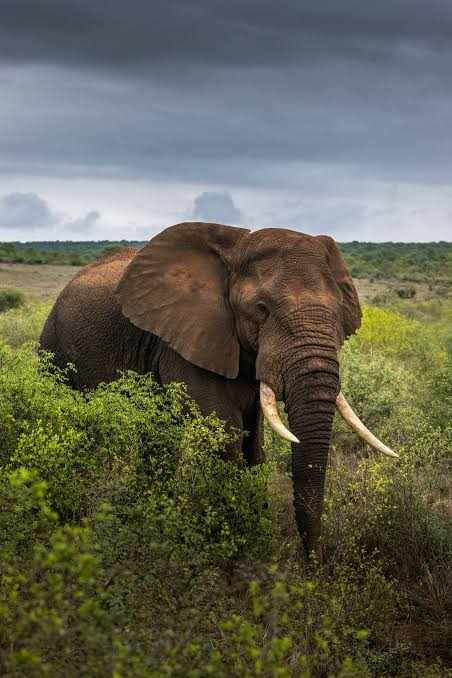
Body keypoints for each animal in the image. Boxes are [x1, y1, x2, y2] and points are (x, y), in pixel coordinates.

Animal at [40, 222, 397, 556]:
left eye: (337, 312)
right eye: (261, 309)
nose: (314, 564)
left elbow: (254, 442)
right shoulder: (186, 338)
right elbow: (225, 432)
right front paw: (235, 551)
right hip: (53, 348)